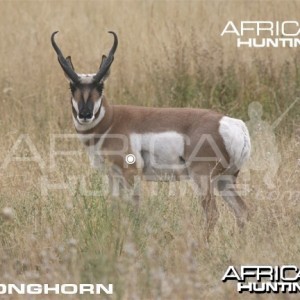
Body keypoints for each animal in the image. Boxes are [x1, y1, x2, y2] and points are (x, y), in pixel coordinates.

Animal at [51, 31, 251, 239]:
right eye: (72, 86)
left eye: (100, 86)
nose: (85, 114)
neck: (112, 120)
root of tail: (232, 124)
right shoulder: (113, 175)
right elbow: (115, 207)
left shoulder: (131, 174)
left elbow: (134, 208)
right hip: (225, 180)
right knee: (242, 211)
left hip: (203, 178)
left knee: (212, 213)